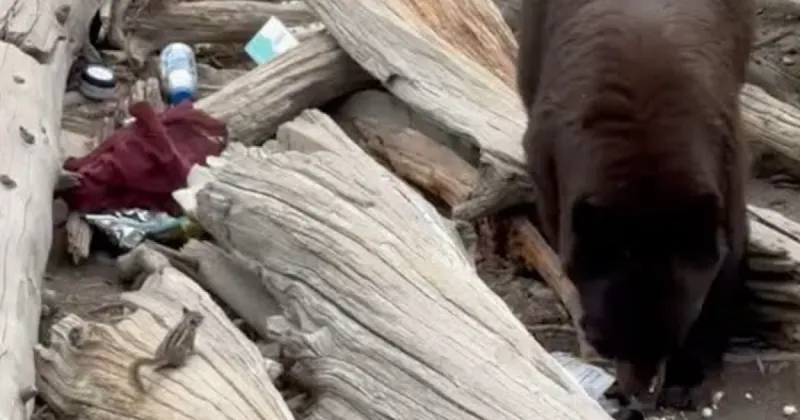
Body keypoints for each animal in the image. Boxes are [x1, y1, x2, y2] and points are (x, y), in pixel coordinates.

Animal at [515, 0, 754, 410]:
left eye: (670, 341)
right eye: (609, 344)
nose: (638, 400)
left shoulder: (725, 158)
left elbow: (727, 256)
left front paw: (689, 378)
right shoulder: (547, 160)